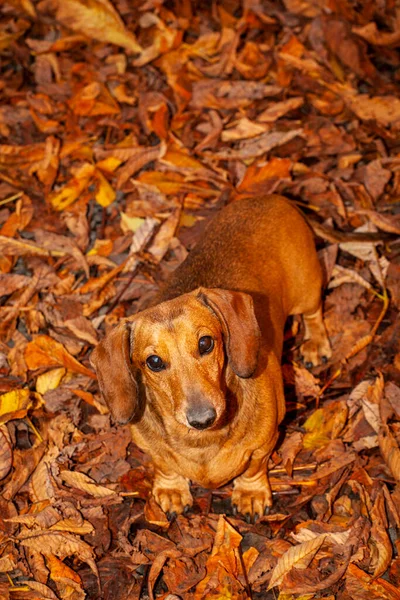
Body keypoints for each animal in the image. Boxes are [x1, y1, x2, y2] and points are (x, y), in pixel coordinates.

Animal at [90, 197, 332, 520]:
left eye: (205, 343)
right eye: (153, 362)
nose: (203, 419)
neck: (201, 443)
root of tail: (274, 198)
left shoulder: (265, 443)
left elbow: (254, 468)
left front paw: (250, 494)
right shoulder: (152, 450)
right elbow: (164, 465)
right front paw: (172, 489)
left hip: (307, 288)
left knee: (314, 312)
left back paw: (316, 343)